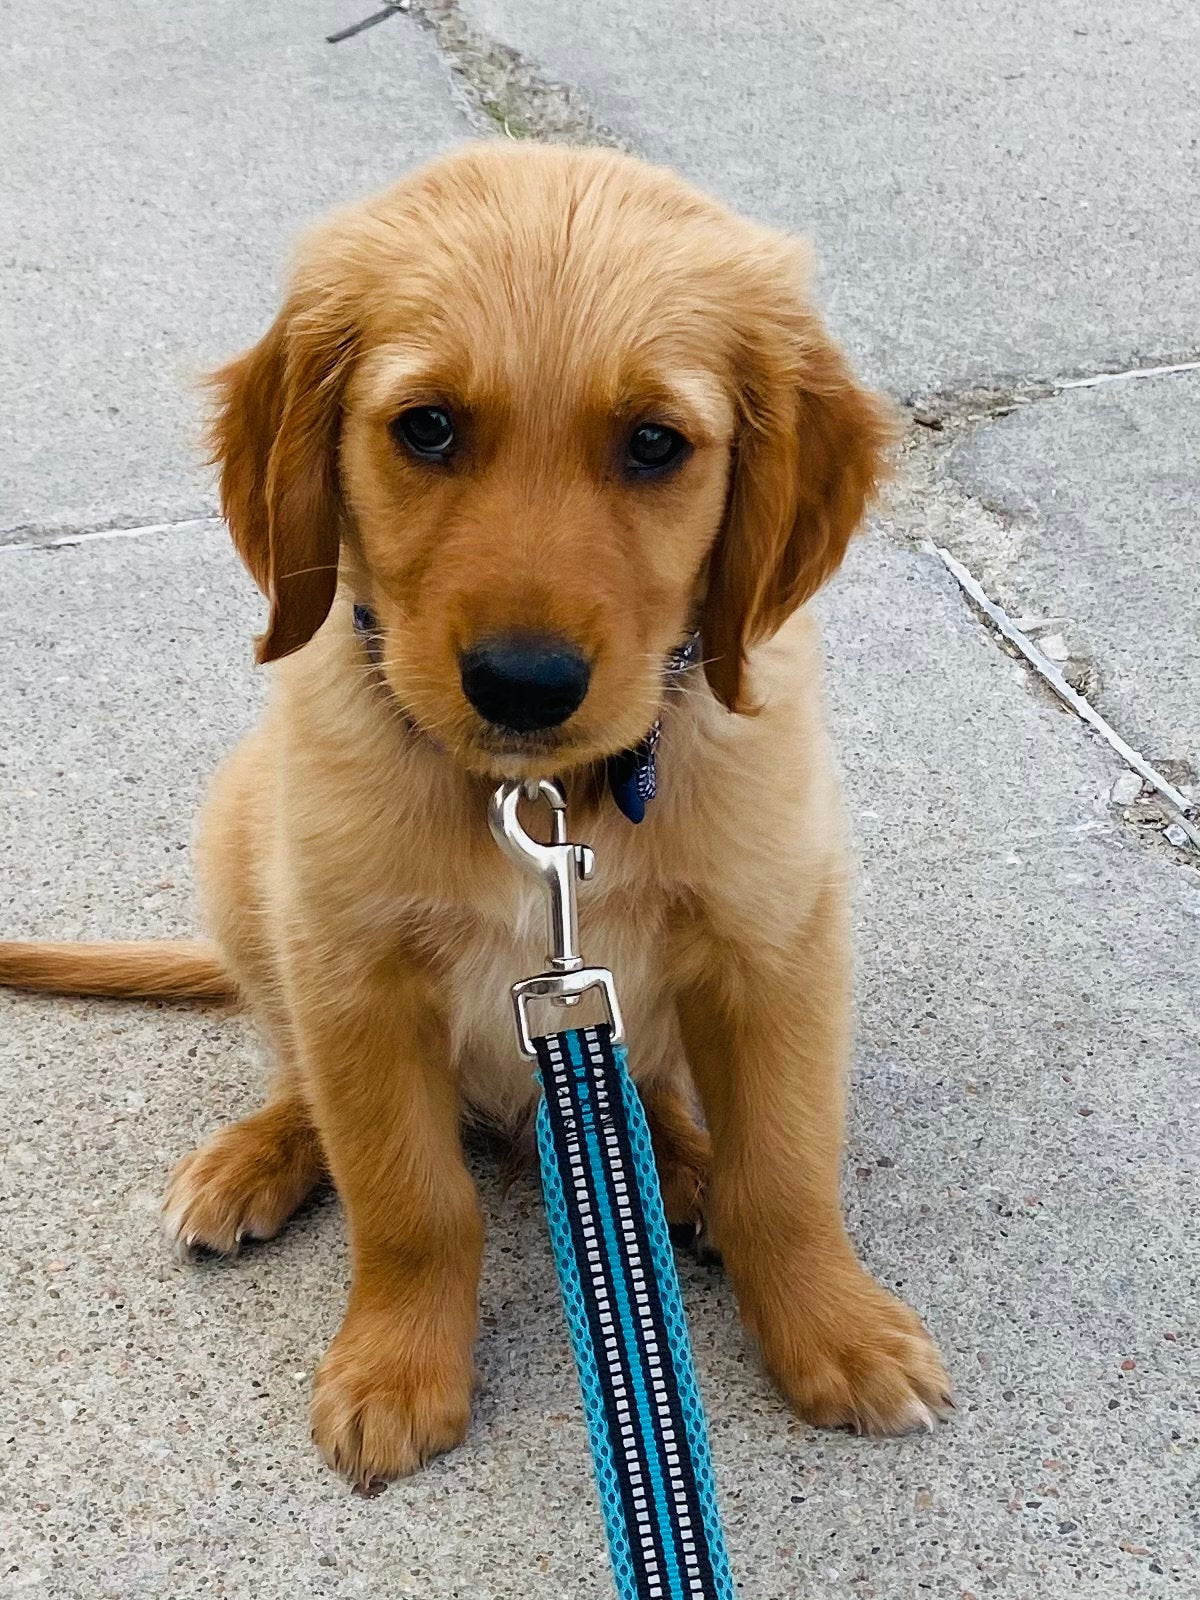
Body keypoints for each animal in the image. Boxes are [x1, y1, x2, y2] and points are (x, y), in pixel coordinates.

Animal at [2, 144, 960, 1478]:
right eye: (429, 427)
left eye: (655, 444)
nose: (523, 683)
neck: (542, 798)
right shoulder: (353, 968)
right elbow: (409, 1199)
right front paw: (396, 1368)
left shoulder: (778, 939)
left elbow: (784, 1168)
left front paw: (836, 1326)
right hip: (244, 849)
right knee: (299, 1071)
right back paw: (260, 1155)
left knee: (657, 1090)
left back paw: (675, 1162)